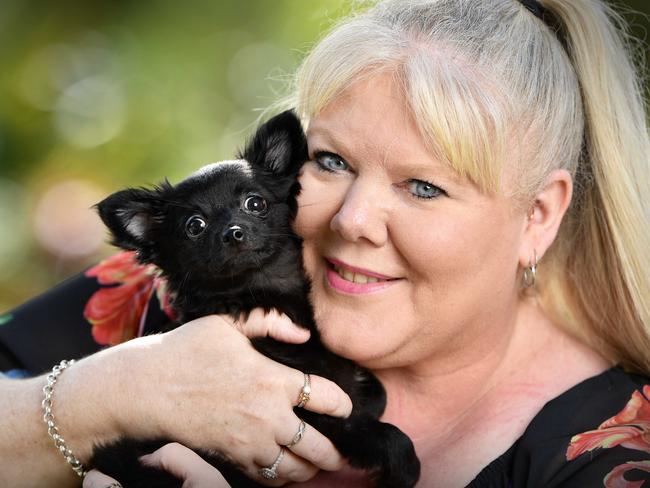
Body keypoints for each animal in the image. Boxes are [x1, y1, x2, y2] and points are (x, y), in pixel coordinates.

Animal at [88, 111, 418, 488]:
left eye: (255, 203)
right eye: (194, 226)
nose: (234, 232)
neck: (262, 293)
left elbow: (373, 391)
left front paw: (372, 393)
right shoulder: (311, 412)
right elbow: (371, 428)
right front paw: (404, 466)